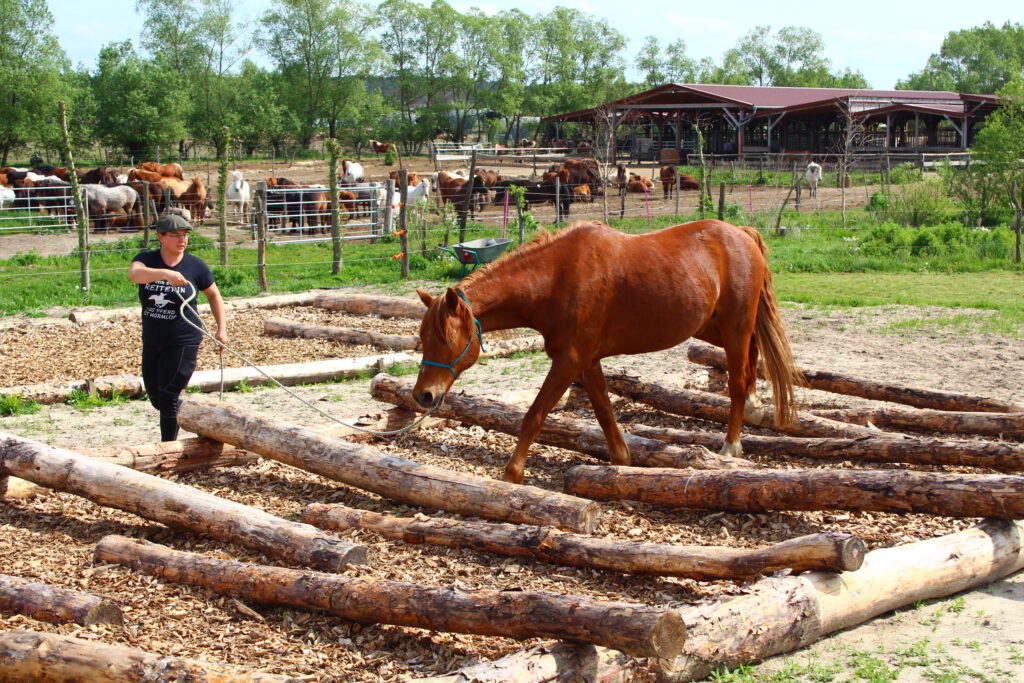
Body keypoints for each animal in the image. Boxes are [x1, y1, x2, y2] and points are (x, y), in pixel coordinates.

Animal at [411, 222, 802, 483]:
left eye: (445, 340)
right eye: (422, 338)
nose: (423, 396)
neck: (556, 278)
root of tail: (741, 233)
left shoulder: (568, 361)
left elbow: (535, 415)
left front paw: (512, 473)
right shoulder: (587, 361)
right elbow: (603, 411)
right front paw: (621, 458)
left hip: (735, 328)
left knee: (737, 382)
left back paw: (731, 446)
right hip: (716, 328)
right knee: (752, 359)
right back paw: (755, 407)